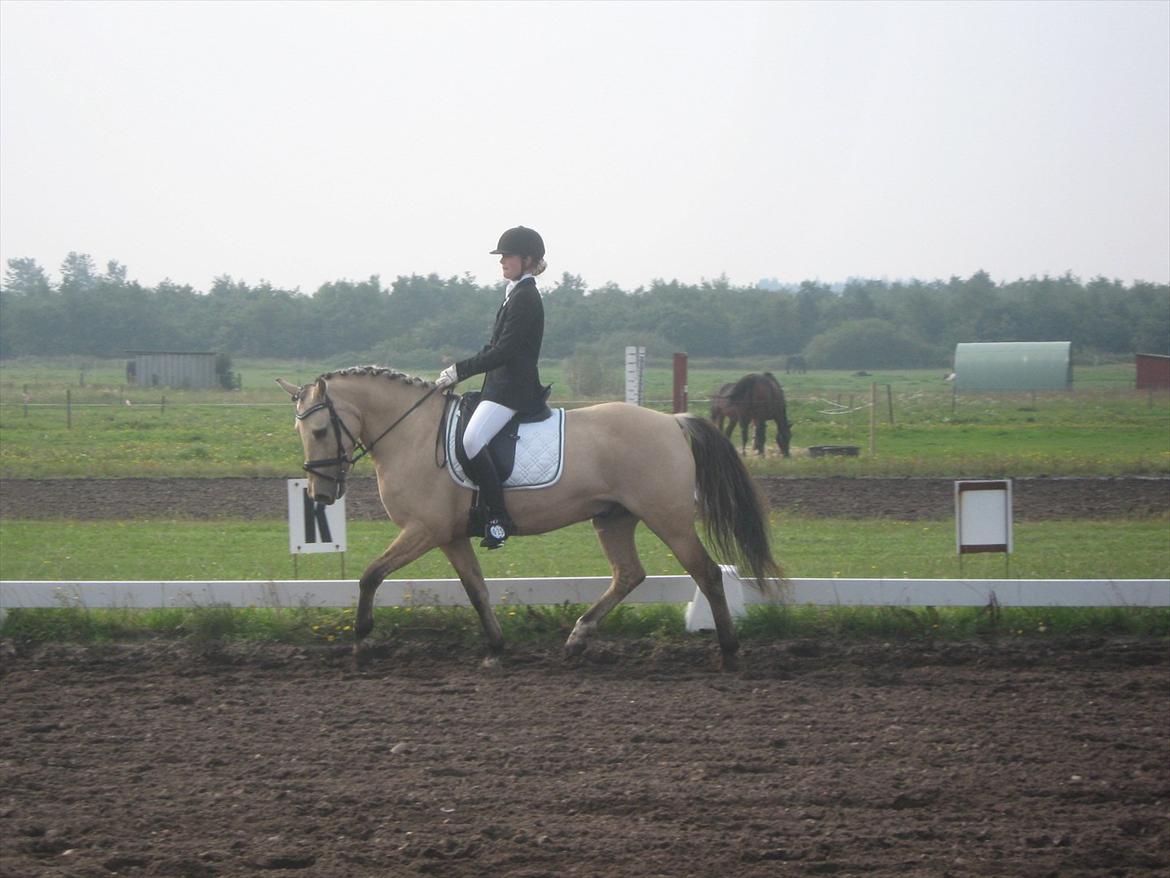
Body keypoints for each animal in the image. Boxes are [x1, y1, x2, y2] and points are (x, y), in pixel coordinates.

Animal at [277, 367, 781, 669]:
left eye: (319, 430)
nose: (321, 494)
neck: (413, 435)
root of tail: (673, 421)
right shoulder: (450, 536)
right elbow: (476, 591)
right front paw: (496, 650)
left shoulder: (423, 530)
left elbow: (370, 575)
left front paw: (360, 642)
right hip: (613, 519)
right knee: (628, 575)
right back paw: (577, 638)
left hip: (668, 519)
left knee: (707, 573)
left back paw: (729, 653)